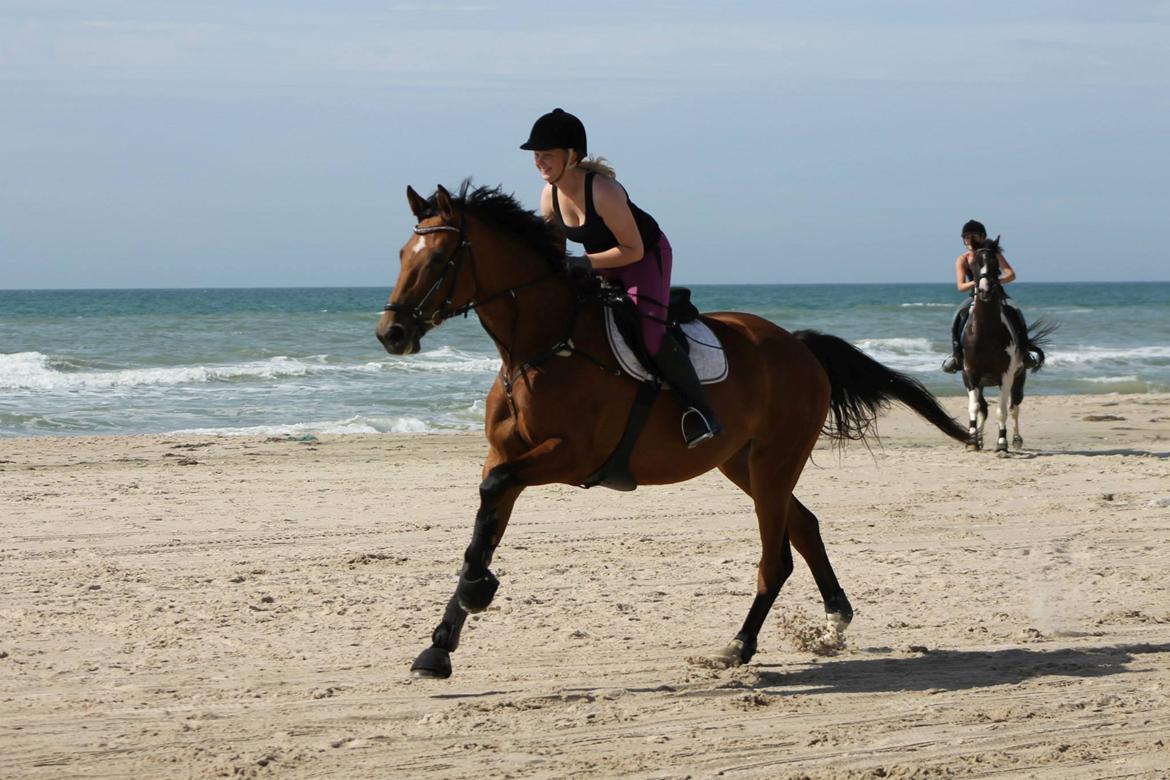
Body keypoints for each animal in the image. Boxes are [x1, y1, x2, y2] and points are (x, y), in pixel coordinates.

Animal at [376, 181, 968, 678]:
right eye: (402, 256)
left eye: (437, 260)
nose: (390, 333)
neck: (539, 347)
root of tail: (800, 346)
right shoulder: (504, 453)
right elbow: (483, 526)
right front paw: (440, 644)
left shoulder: (570, 455)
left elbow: (492, 499)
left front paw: (478, 593)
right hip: (742, 463)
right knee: (804, 526)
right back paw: (833, 622)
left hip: (773, 462)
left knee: (775, 557)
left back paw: (740, 645)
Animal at [959, 236, 1053, 451]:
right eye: (973, 264)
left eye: (995, 263)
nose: (985, 291)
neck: (985, 332)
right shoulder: (970, 374)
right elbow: (974, 407)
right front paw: (972, 441)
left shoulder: (1006, 375)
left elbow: (1002, 411)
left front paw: (1002, 444)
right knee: (984, 407)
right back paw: (979, 438)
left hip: (1018, 379)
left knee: (1014, 407)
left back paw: (1016, 440)